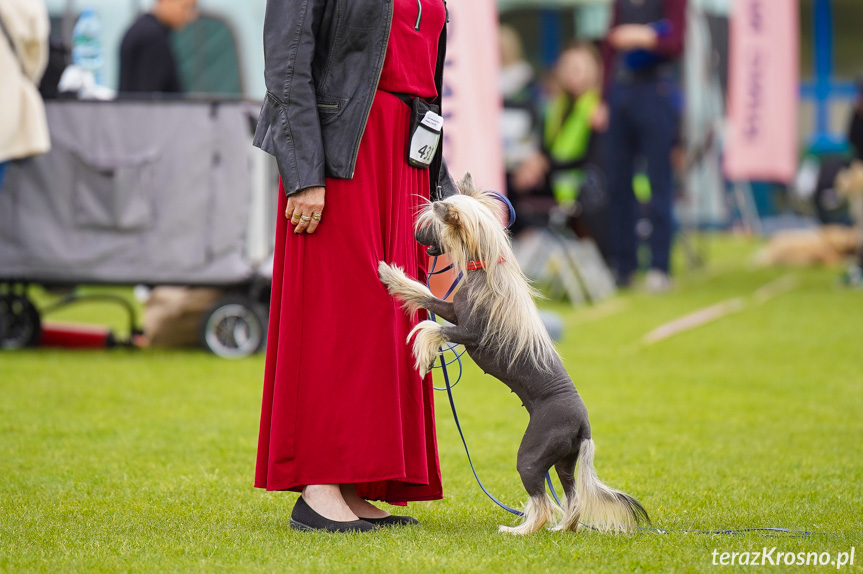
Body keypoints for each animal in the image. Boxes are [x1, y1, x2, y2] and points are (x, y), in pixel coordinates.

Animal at [378, 174, 648, 536]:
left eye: (432, 225)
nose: (416, 236)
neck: (483, 268)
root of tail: (585, 425)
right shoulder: (453, 308)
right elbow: (424, 296)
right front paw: (392, 276)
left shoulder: (472, 333)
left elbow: (433, 328)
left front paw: (422, 352)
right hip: (563, 460)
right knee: (572, 497)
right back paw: (562, 528)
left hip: (532, 456)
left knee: (543, 501)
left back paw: (520, 530)